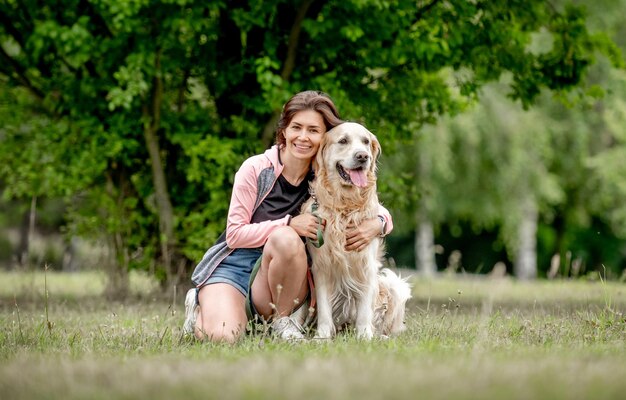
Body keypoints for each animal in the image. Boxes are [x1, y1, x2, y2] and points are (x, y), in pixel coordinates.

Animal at [302, 122, 410, 340]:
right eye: (343, 141)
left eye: (366, 141)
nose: (363, 156)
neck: (345, 206)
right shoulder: (320, 266)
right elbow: (324, 308)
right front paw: (322, 337)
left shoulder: (366, 264)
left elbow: (365, 310)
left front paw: (365, 336)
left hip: (394, 284)